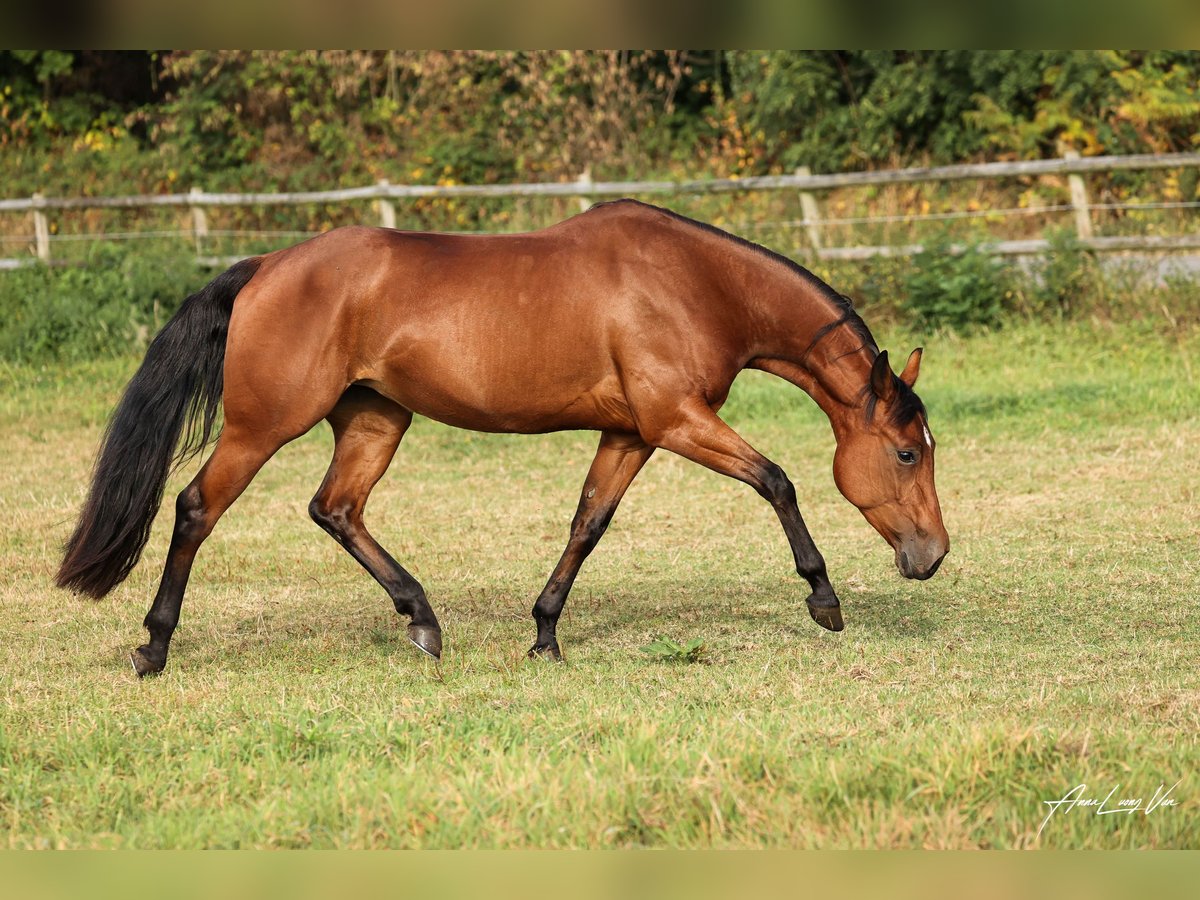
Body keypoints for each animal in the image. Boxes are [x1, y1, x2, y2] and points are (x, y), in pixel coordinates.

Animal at [56, 199, 948, 675]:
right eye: (906, 452)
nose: (932, 556)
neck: (693, 283)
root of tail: (268, 264)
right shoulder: (677, 420)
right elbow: (777, 480)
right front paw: (824, 599)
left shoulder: (631, 433)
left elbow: (587, 525)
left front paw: (545, 633)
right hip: (261, 425)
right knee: (196, 509)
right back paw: (154, 647)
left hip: (375, 418)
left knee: (336, 509)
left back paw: (422, 620)